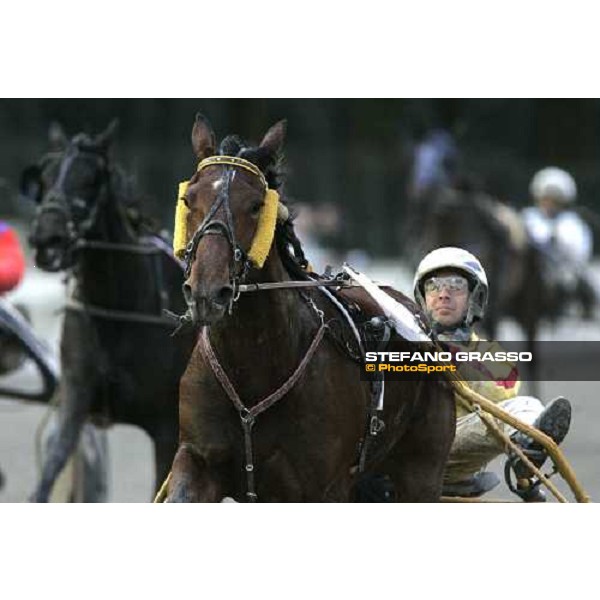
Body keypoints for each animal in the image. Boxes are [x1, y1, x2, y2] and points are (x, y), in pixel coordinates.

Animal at [20, 122, 195, 502]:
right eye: (47, 176)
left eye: (90, 178)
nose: (48, 238)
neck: (118, 307)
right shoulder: (75, 399)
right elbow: (50, 472)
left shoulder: (167, 427)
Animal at [164, 115, 454, 504]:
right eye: (188, 199)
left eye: (256, 205)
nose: (207, 292)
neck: (253, 365)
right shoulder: (198, 458)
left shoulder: (322, 486)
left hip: (421, 468)